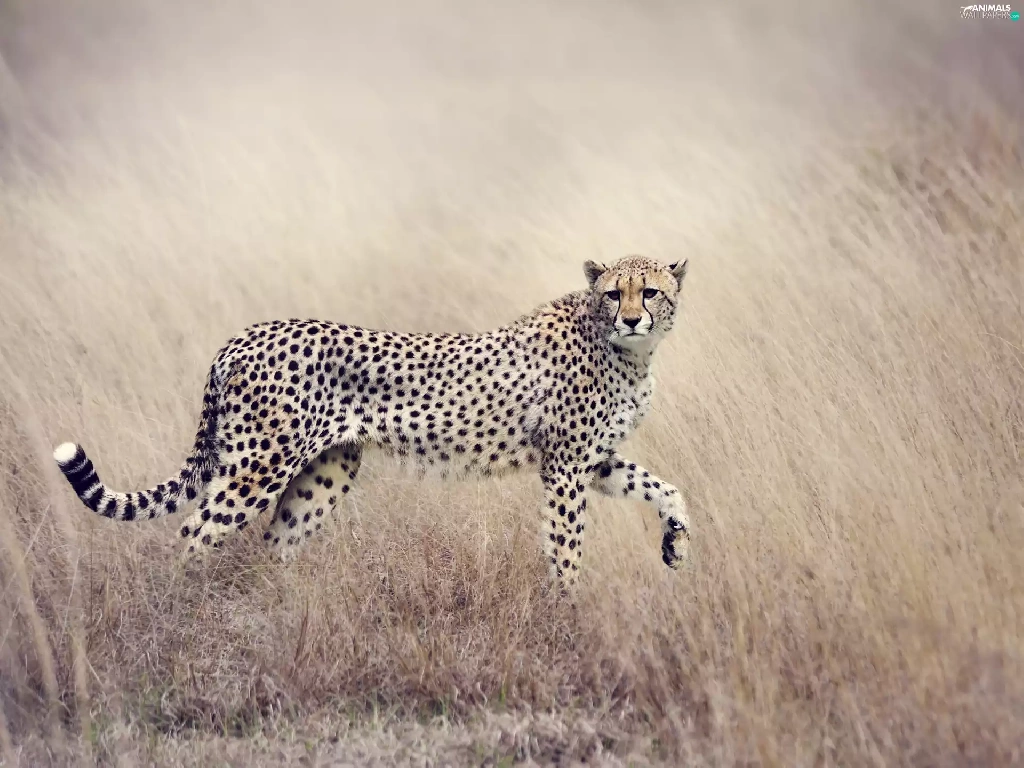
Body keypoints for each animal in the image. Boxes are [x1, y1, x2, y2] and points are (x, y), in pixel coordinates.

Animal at [53, 254, 691, 591]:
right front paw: (565, 611)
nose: (632, 319)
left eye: (650, 291)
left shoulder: (594, 461)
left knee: (275, 542)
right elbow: (566, 544)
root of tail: (246, 334)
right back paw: (183, 612)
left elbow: (665, 487)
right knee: (194, 532)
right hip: (257, 467)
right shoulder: (564, 467)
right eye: (613, 294)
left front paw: (675, 543)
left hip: (326, 471)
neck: (628, 354)